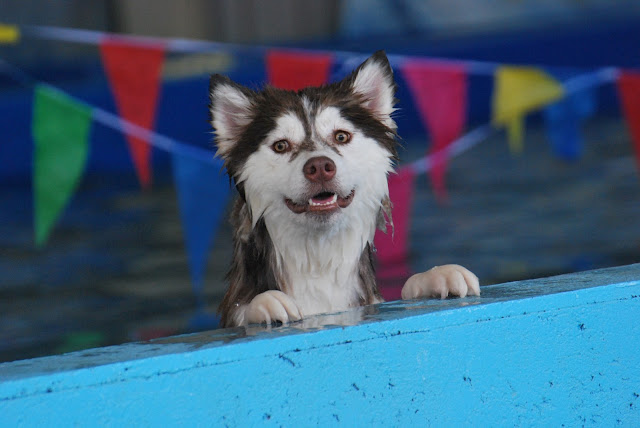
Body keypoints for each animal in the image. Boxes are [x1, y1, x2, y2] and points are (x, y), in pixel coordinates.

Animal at [210, 51, 480, 330]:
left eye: (341, 136)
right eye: (281, 145)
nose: (319, 167)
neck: (318, 259)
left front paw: (435, 277)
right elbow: (245, 311)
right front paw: (261, 303)